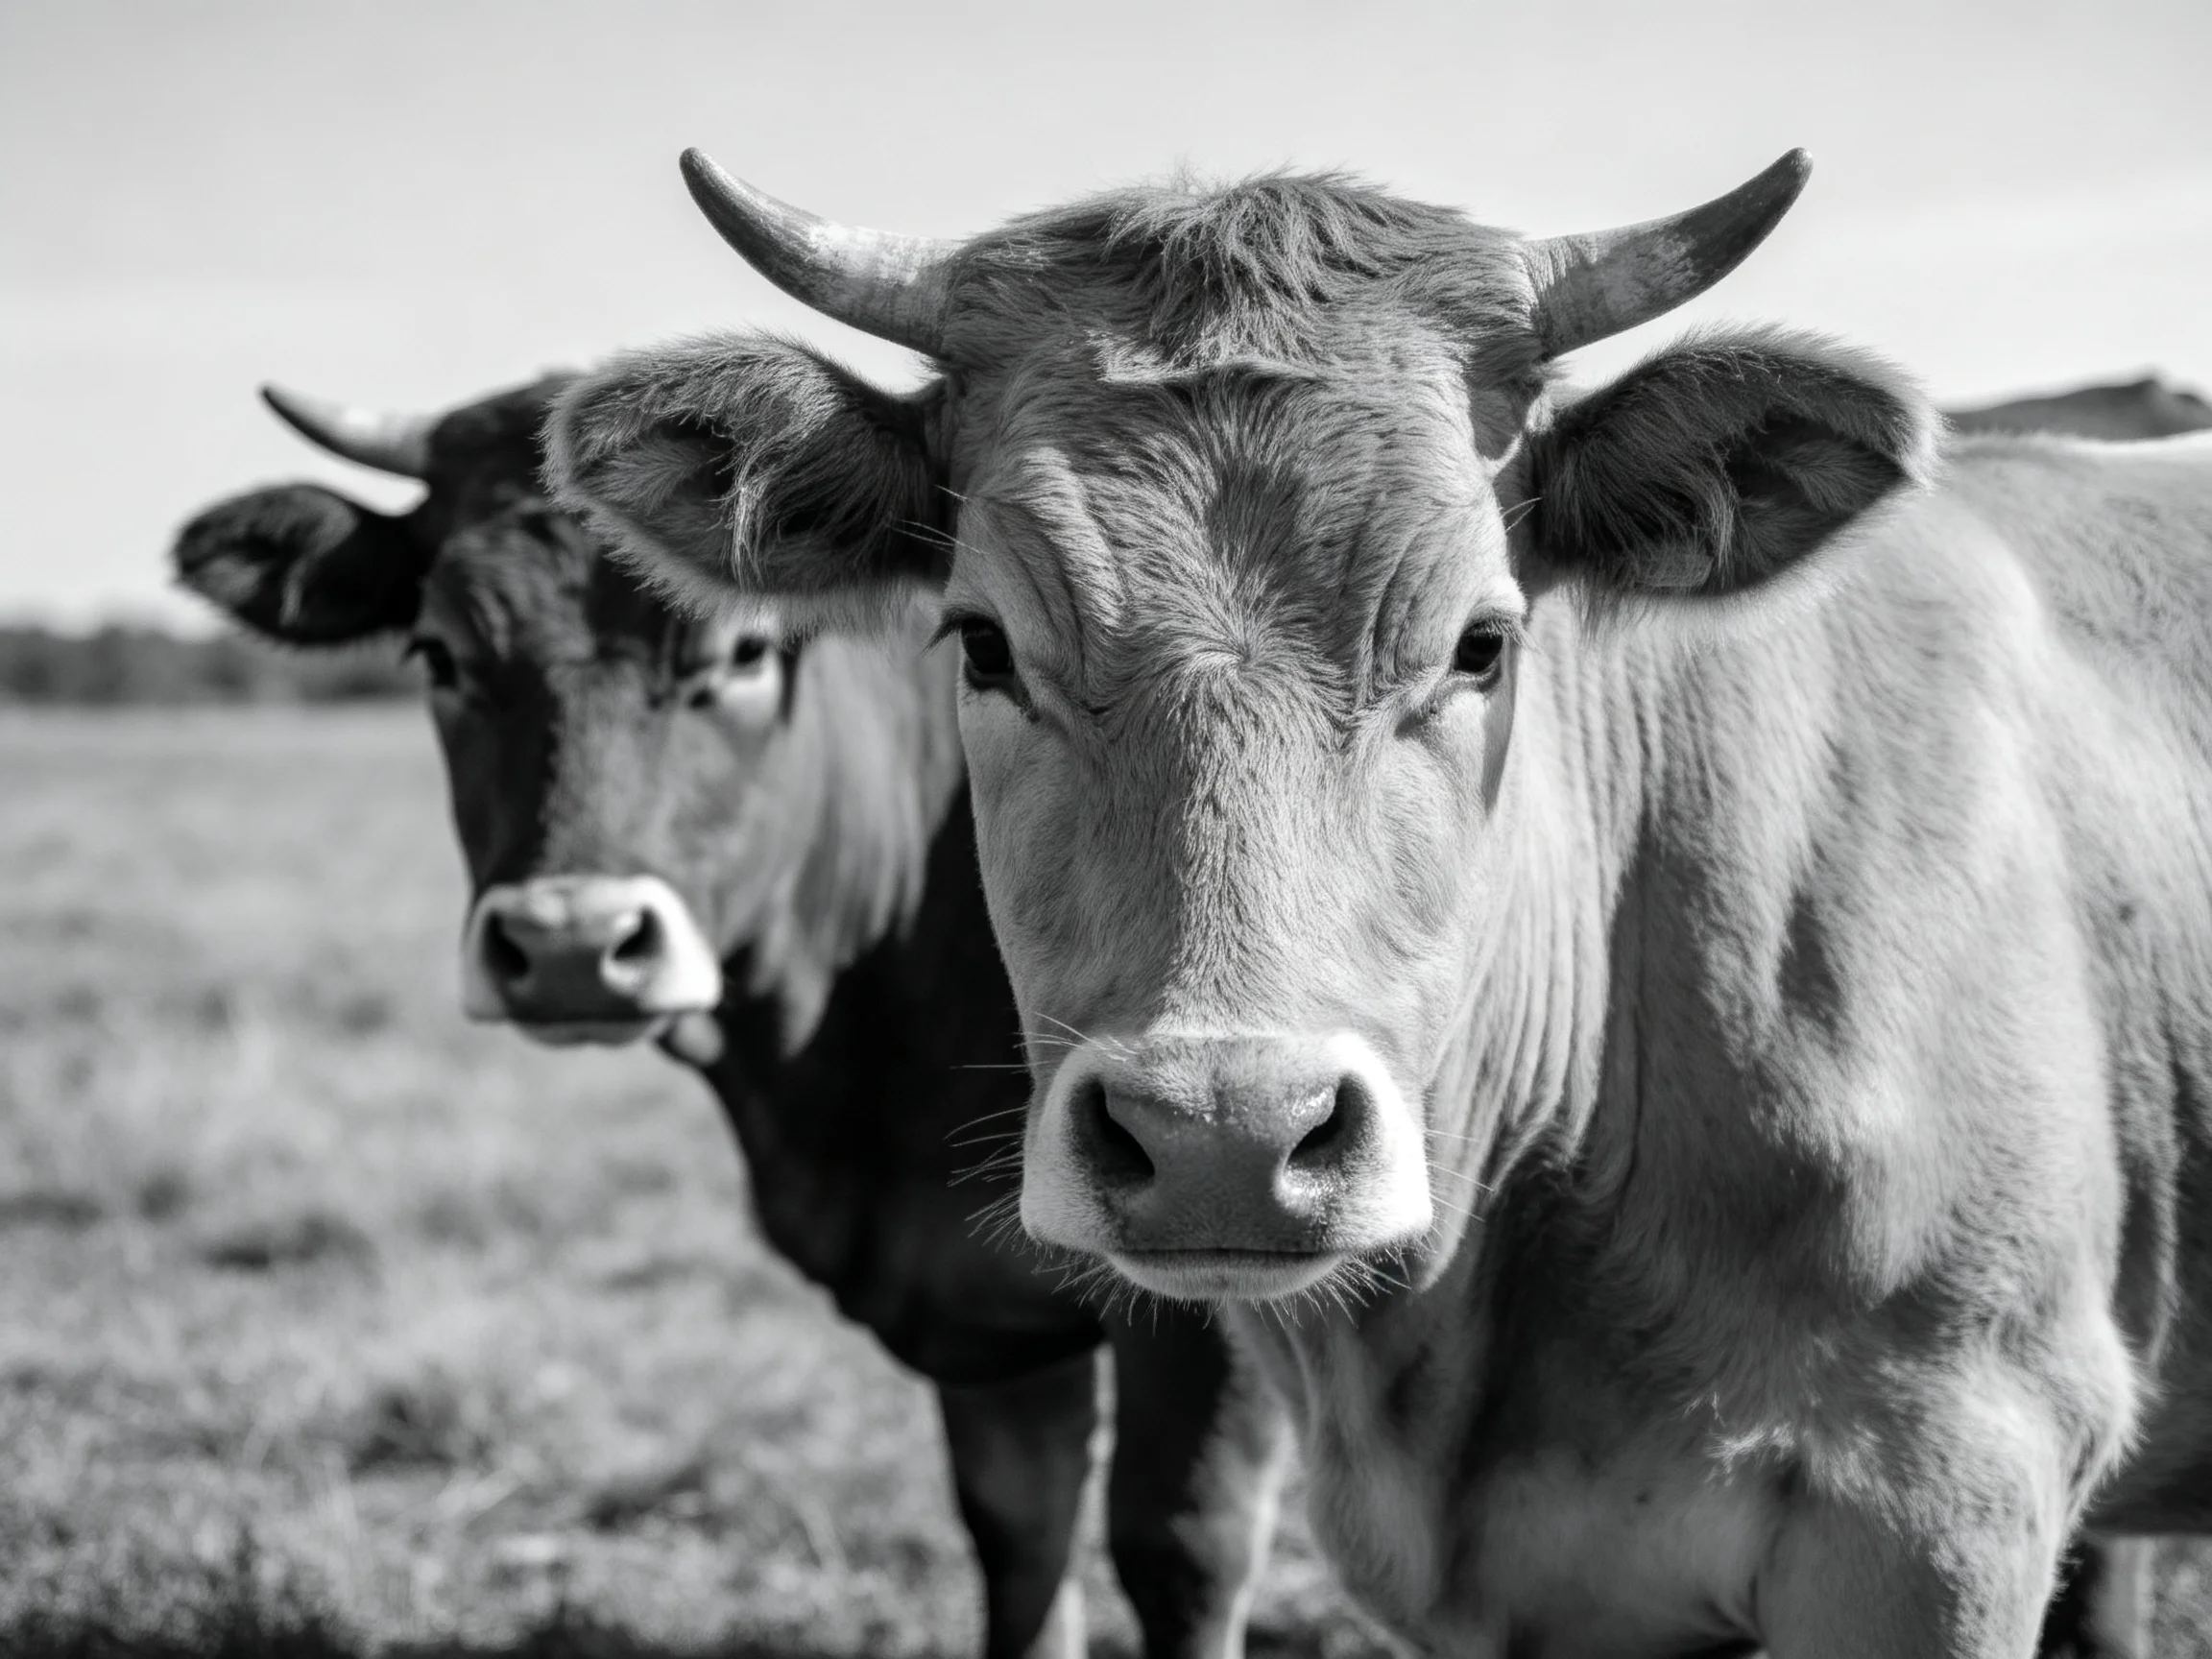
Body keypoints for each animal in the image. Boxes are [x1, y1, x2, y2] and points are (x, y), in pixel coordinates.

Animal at [169, 378, 1291, 1659]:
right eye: (438, 653)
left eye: (747, 649)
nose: (569, 944)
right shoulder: (990, 1322)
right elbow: (1019, 1543)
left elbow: (1181, 1546)